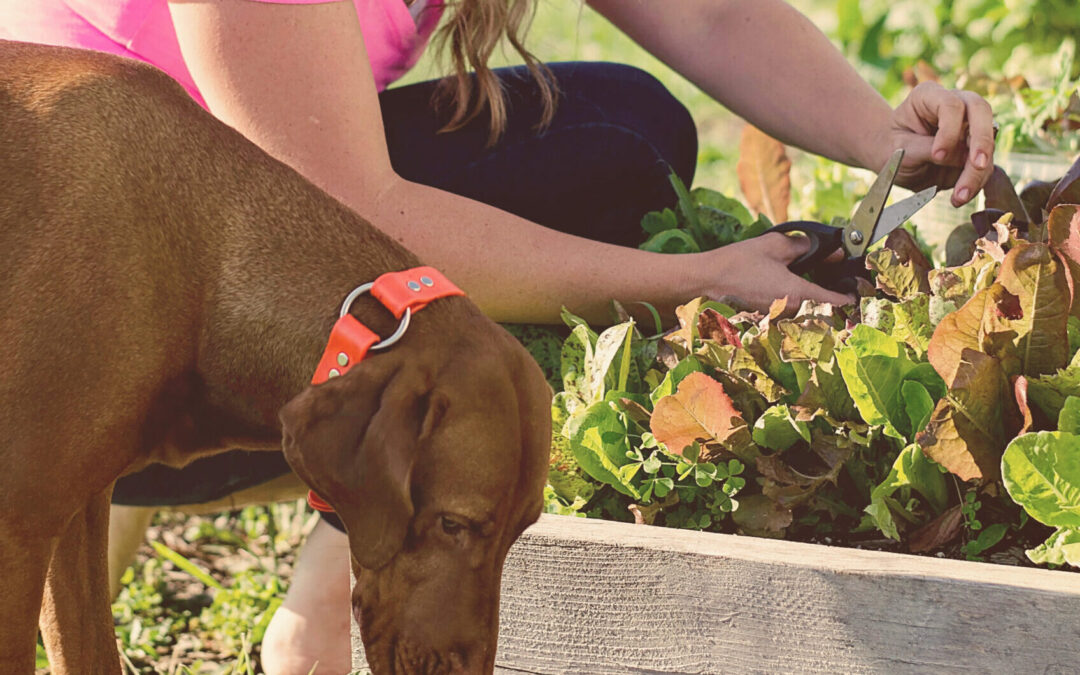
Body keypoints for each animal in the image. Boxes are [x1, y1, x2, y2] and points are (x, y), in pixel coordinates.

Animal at [0, 39, 552, 669]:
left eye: (521, 530)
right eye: (453, 523)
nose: (475, 671)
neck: (197, 264)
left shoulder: (76, 510)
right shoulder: (18, 527)